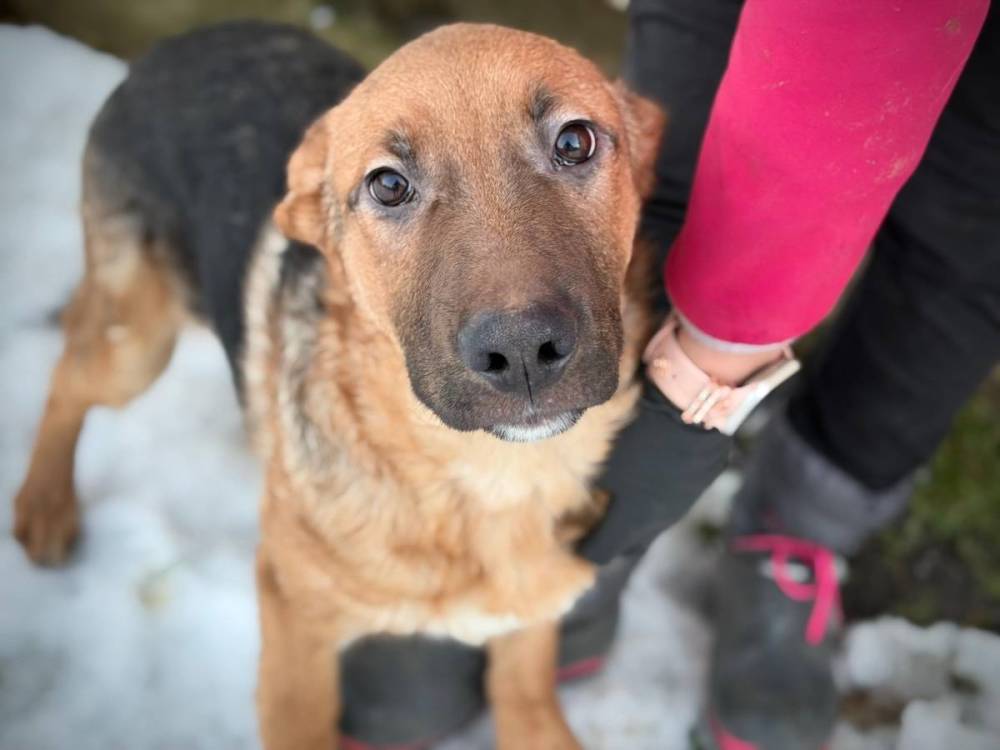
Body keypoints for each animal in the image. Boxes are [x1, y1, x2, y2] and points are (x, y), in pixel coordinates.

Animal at [12, 20, 664, 750]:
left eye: (574, 142)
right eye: (388, 185)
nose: (522, 350)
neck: (488, 479)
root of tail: (186, 38)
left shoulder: (529, 627)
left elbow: (525, 697)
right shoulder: (294, 624)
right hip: (137, 344)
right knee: (69, 376)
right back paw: (45, 503)